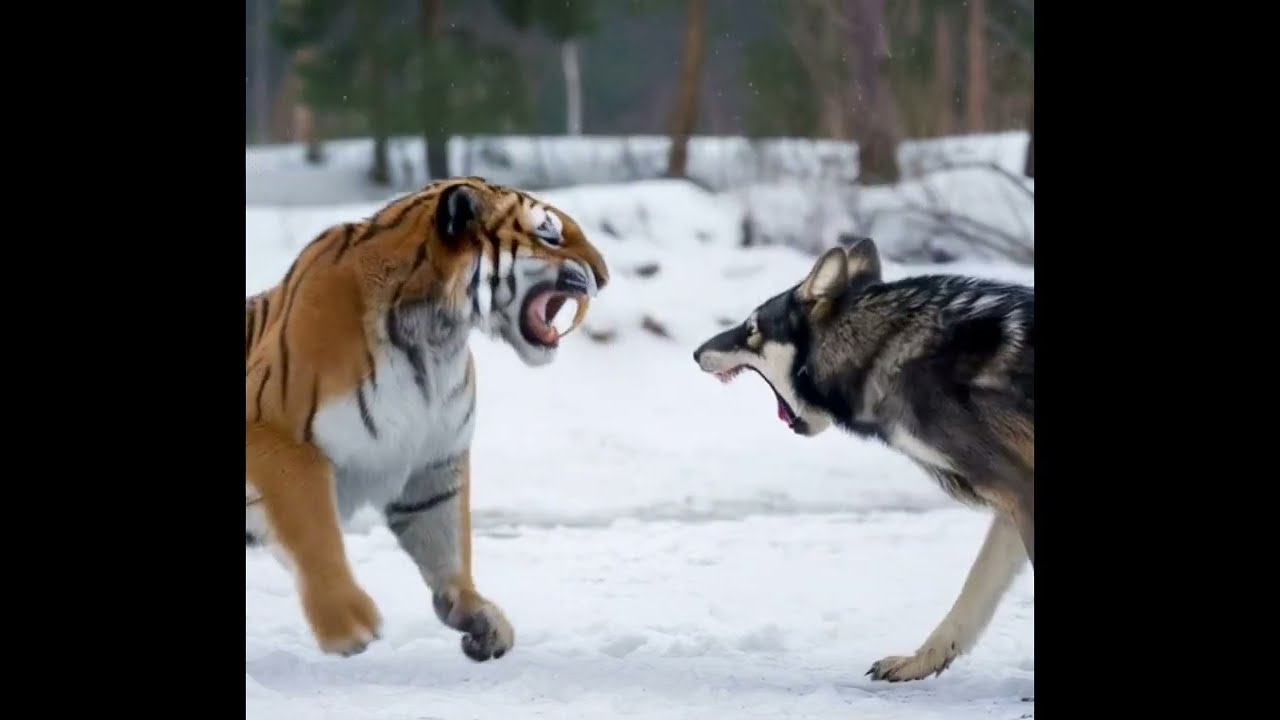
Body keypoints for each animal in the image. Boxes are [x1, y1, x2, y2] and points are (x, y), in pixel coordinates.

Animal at [245, 176, 609, 662]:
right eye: (549, 235)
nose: (605, 275)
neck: (436, 337)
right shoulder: (277, 434)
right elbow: (314, 532)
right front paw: (348, 623)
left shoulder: (433, 460)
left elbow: (447, 542)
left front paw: (477, 615)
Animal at [692, 237, 1033, 683]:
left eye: (751, 330)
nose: (695, 352)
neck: (885, 351)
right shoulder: (1012, 501)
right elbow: (971, 596)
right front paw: (918, 662)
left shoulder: (1021, 492)